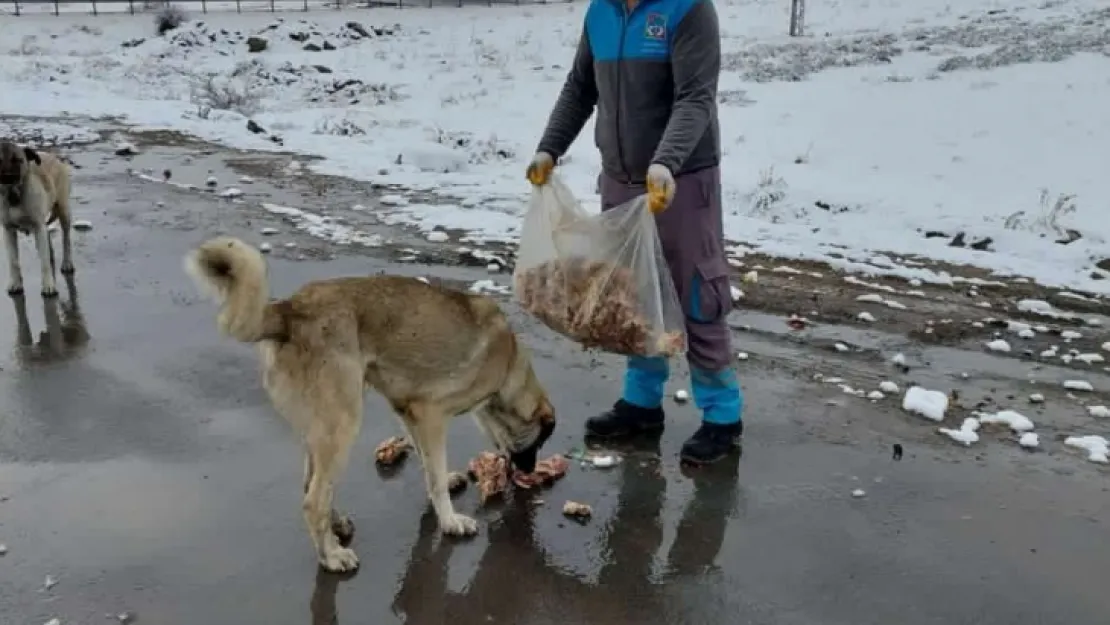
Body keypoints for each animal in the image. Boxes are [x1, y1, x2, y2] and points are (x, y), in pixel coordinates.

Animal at [188, 237, 563, 572]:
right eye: (540, 442)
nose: (530, 472)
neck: (509, 364)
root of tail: (289, 310)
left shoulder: (408, 412)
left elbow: (429, 465)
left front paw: (445, 484)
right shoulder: (430, 415)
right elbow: (435, 477)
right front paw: (450, 521)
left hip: (320, 429)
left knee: (311, 484)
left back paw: (336, 526)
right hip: (343, 423)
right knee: (313, 501)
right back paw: (331, 556)